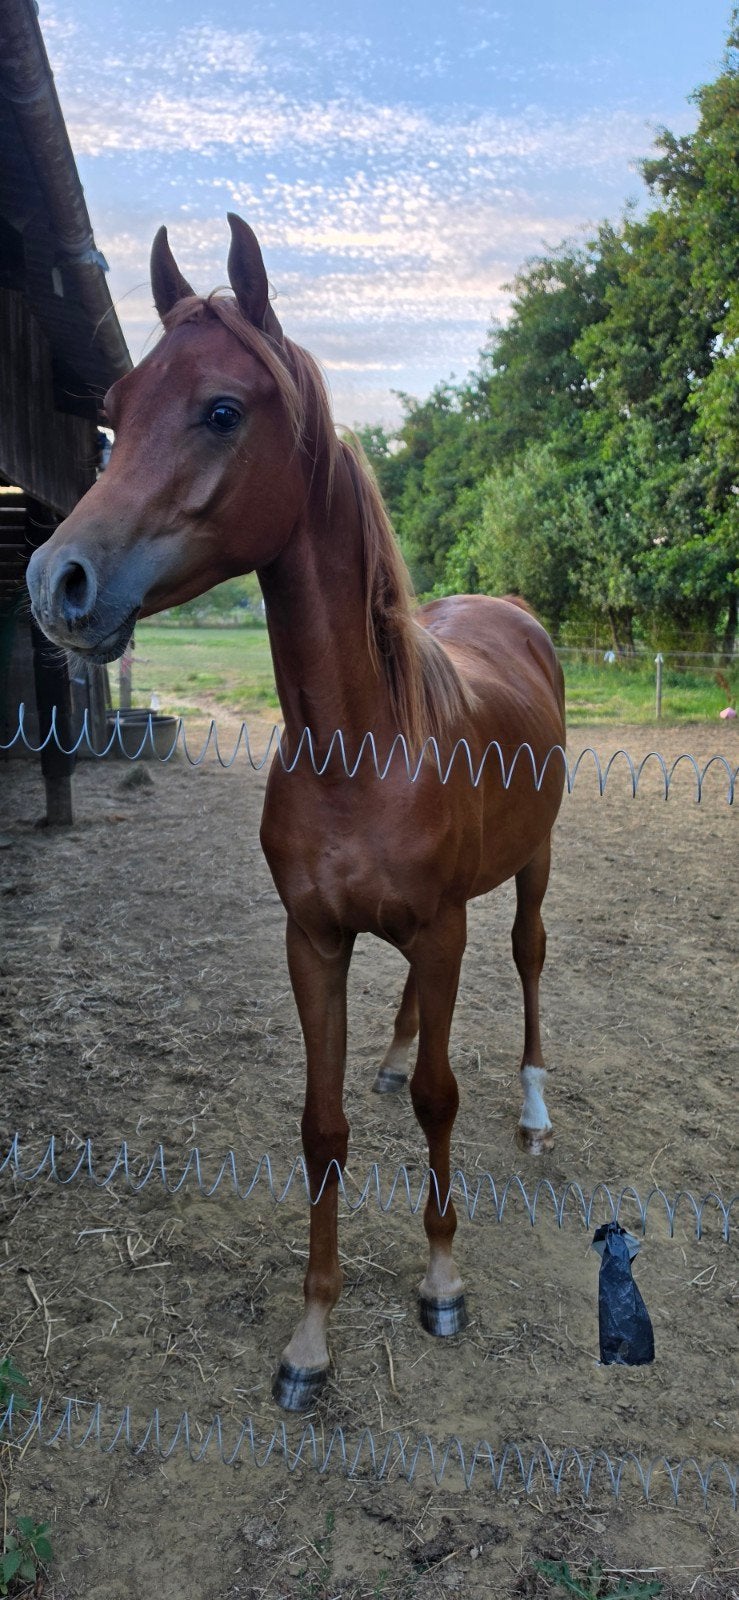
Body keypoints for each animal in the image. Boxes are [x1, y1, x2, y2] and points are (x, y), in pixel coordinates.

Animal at [26, 215, 566, 1413]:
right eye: (116, 407)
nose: (54, 581)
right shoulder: (312, 939)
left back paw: (535, 1107)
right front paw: (310, 1334)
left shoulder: (442, 927)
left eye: (223, 410)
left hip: (531, 870)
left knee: (527, 960)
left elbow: (439, 1099)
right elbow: (324, 1127)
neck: (361, 751)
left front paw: (441, 1280)